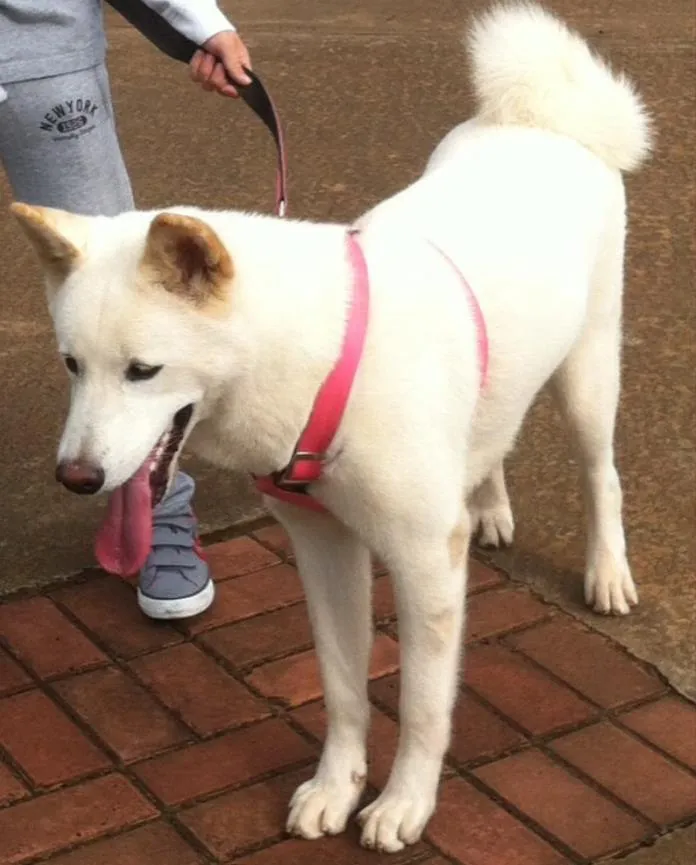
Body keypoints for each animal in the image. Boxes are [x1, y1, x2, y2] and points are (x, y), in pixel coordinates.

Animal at [13, 3, 648, 852]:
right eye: (72, 365)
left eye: (143, 370)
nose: (76, 477)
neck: (310, 360)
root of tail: (544, 120)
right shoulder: (323, 547)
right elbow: (344, 688)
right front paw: (335, 787)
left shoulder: (422, 562)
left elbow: (420, 703)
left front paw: (404, 803)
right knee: (492, 441)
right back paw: (489, 507)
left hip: (586, 375)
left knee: (600, 474)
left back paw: (607, 571)